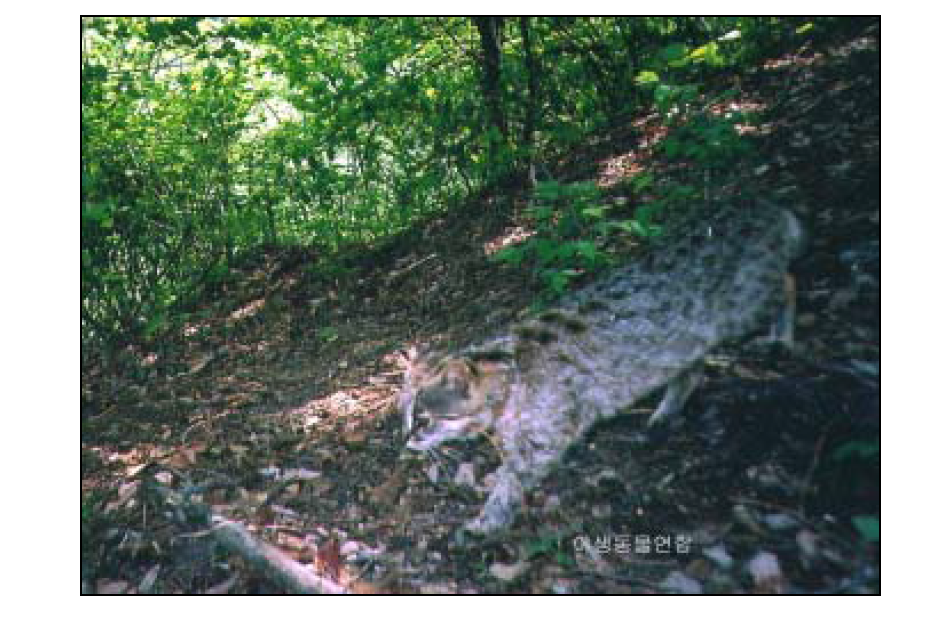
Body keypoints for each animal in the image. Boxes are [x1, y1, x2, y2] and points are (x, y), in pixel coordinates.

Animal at [398, 200, 808, 536]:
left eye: (424, 419)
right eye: (406, 418)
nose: (405, 440)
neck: (507, 380)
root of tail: (757, 204)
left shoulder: (545, 437)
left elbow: (514, 478)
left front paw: (488, 520)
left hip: (746, 304)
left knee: (788, 281)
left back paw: (781, 337)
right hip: (687, 338)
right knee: (690, 367)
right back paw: (667, 409)